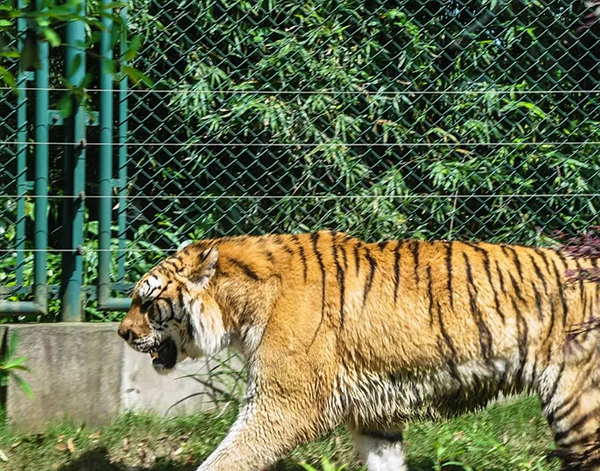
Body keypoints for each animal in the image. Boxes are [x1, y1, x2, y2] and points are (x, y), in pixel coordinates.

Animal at [119, 230, 600, 470]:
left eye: (146, 301)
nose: (122, 333)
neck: (237, 311)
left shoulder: (283, 404)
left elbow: (227, 458)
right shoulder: (375, 416)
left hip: (577, 404)